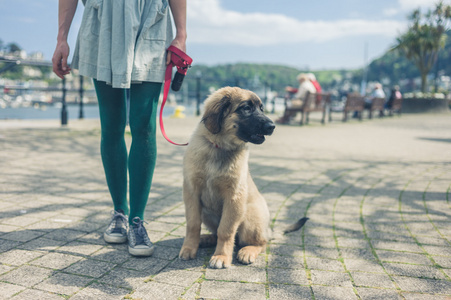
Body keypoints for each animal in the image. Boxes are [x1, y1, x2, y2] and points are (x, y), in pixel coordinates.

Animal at [178, 85, 308, 268]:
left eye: (262, 108)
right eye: (246, 108)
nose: (272, 126)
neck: (219, 147)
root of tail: (269, 230)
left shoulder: (234, 196)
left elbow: (226, 230)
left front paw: (221, 256)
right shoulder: (191, 192)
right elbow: (193, 224)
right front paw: (189, 248)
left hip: (249, 217)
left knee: (260, 242)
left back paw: (247, 251)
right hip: (207, 213)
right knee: (217, 233)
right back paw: (206, 239)